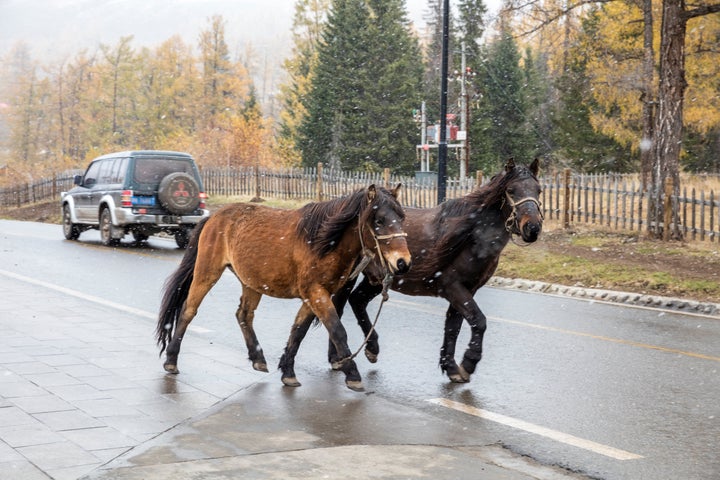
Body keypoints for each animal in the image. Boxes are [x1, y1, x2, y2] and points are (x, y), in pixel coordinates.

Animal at [160, 184, 414, 390]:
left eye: (402, 217)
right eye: (379, 221)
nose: (403, 262)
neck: (323, 242)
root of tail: (214, 217)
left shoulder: (314, 296)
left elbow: (298, 331)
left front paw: (288, 371)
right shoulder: (316, 293)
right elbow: (337, 330)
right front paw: (352, 374)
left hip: (251, 283)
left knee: (244, 314)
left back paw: (258, 358)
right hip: (207, 272)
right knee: (189, 310)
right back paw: (171, 360)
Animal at [330, 159, 544, 384]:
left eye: (538, 190)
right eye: (511, 190)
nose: (532, 228)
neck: (472, 236)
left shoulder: (468, 289)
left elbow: (453, 326)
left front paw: (451, 367)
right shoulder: (452, 287)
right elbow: (478, 321)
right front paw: (469, 362)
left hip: (378, 279)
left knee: (356, 300)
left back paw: (369, 349)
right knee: (338, 305)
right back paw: (339, 359)